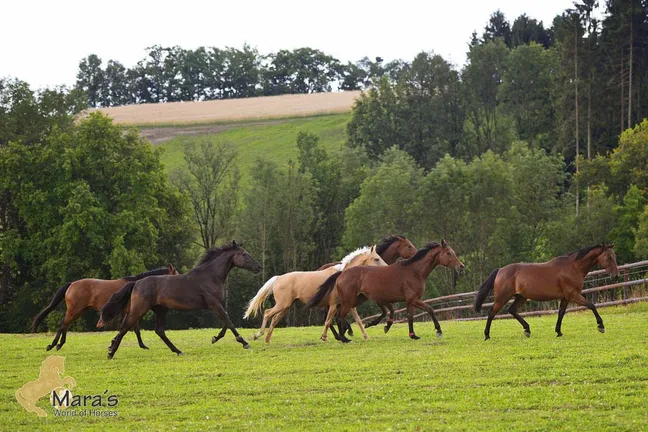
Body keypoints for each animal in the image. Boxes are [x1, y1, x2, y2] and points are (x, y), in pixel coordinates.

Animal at [29, 264, 177, 352]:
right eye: (176, 274)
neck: (136, 286)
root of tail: (71, 284)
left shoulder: (129, 312)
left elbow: (134, 330)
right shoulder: (132, 312)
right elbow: (131, 329)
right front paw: (115, 344)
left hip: (78, 311)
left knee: (65, 324)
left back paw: (59, 344)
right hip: (74, 310)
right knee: (62, 325)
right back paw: (53, 345)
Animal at [97, 241, 260, 360]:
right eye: (244, 254)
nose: (259, 267)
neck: (211, 276)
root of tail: (136, 283)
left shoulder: (217, 305)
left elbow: (226, 322)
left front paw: (215, 338)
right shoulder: (214, 304)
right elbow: (229, 322)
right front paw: (244, 342)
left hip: (161, 310)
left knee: (159, 331)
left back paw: (178, 351)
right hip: (140, 309)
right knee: (125, 327)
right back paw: (111, 353)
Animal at [242, 245, 384, 342]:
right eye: (376, 259)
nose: (386, 268)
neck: (340, 275)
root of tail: (278, 278)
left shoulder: (347, 304)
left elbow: (358, 320)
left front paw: (366, 337)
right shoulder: (333, 304)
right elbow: (328, 321)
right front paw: (325, 337)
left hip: (286, 307)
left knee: (274, 319)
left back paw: (267, 339)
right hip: (282, 305)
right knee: (267, 313)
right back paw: (258, 335)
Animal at [310, 238, 466, 342]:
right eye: (449, 253)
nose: (461, 266)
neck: (414, 271)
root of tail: (341, 273)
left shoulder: (409, 301)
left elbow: (409, 316)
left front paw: (412, 335)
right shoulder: (413, 299)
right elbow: (430, 310)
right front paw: (438, 331)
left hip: (356, 299)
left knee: (335, 316)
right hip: (349, 301)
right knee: (338, 316)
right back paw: (343, 337)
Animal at [474, 241, 620, 340]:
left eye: (614, 256)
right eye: (609, 257)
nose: (616, 276)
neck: (573, 267)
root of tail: (500, 270)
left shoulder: (565, 297)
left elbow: (561, 313)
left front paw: (558, 332)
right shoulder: (573, 295)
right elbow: (592, 305)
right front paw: (601, 326)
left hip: (521, 297)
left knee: (512, 310)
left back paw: (527, 329)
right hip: (502, 297)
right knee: (492, 313)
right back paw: (487, 335)